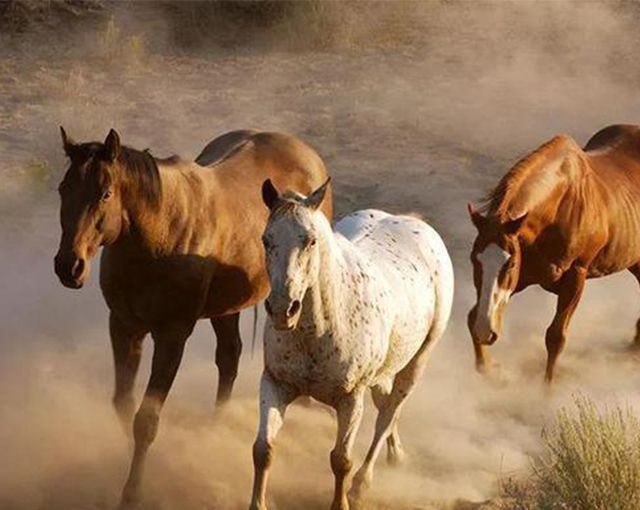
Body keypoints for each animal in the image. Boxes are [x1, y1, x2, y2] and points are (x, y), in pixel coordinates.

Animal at [53, 127, 336, 506]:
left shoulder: (172, 336)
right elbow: (123, 404)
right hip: (227, 307)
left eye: (105, 193)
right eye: (63, 189)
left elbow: (146, 419)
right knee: (229, 357)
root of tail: (306, 152)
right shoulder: (125, 327)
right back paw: (217, 426)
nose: (69, 266)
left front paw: (133, 491)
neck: (158, 234)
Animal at [250, 179, 456, 510]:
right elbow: (263, 449)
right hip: (385, 370)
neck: (318, 331)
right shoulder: (275, 384)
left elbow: (341, 460)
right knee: (386, 405)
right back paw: (396, 452)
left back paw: (363, 484)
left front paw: (343, 501)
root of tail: (414, 223)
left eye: (310, 241)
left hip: (417, 362)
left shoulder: (350, 399)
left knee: (388, 414)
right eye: (266, 240)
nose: (283, 309)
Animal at [468, 124, 640, 382]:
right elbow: (472, 317)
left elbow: (556, 337)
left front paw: (546, 390)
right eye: (473, 260)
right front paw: (489, 369)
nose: (485, 331)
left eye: (510, 264)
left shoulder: (575, 277)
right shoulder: (524, 277)